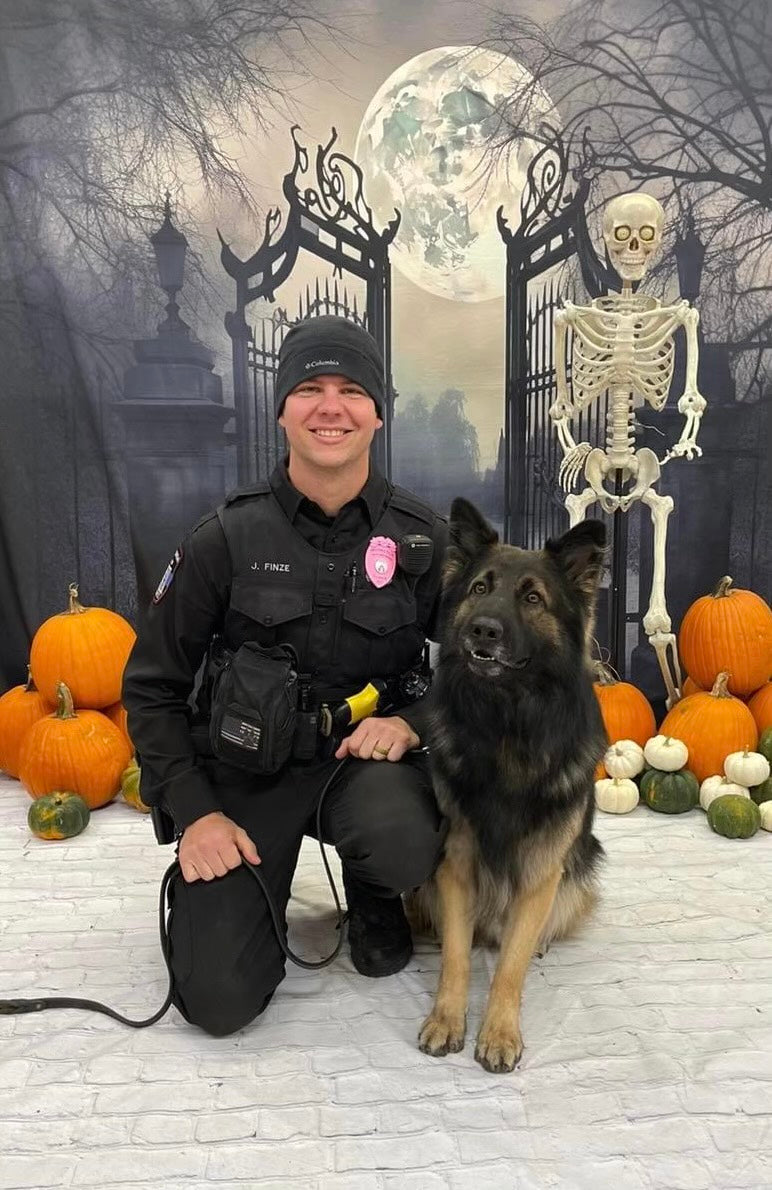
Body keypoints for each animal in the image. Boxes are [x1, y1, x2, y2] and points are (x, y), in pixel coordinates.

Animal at [411, 497, 604, 1075]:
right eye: (479, 588)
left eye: (533, 598)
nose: (482, 630)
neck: (505, 724)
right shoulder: (455, 863)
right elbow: (456, 956)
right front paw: (446, 1021)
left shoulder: (542, 871)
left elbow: (510, 967)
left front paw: (498, 1033)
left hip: (576, 875)